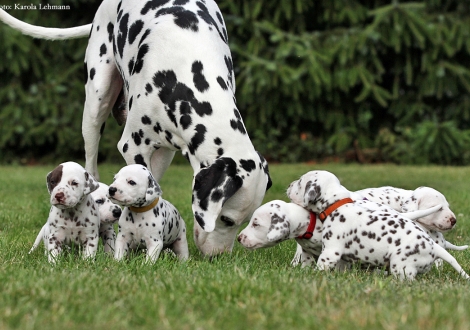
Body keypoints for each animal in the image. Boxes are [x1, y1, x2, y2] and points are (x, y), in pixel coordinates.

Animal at [0, 0, 272, 256]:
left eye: (243, 221)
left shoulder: (165, 150)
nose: (217, 256)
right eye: (226, 219)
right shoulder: (133, 146)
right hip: (95, 105)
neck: (186, 71)